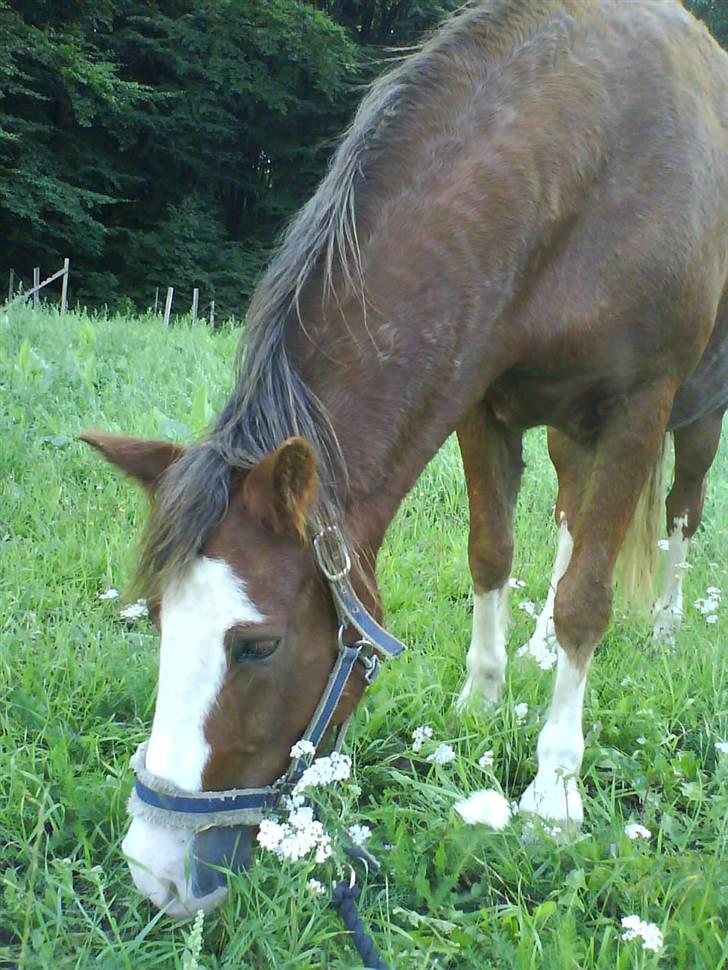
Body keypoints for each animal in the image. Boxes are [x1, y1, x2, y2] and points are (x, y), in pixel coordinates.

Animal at [82, 0, 727, 918]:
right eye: (163, 620)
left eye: (259, 647)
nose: (156, 869)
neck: (587, 167)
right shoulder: (483, 405)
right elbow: (492, 555)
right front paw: (481, 702)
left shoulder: (640, 406)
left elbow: (588, 604)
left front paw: (553, 794)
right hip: (570, 431)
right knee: (571, 516)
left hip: (694, 417)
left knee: (679, 517)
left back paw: (666, 628)